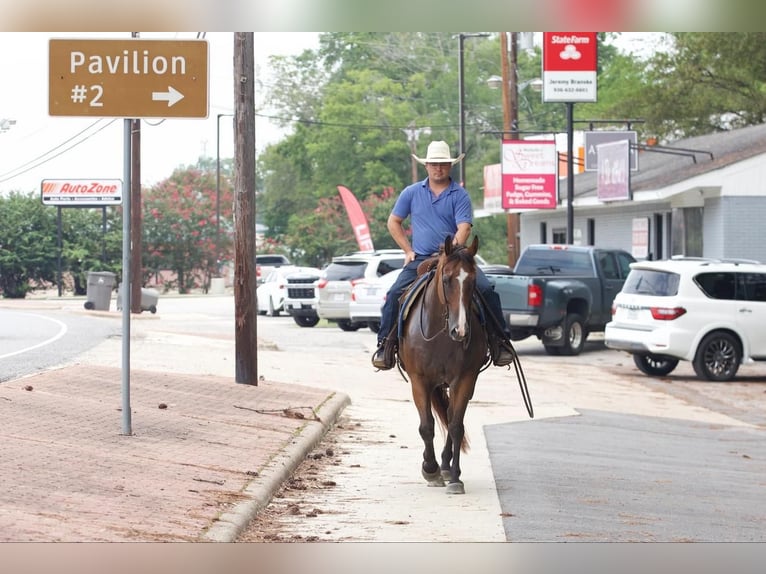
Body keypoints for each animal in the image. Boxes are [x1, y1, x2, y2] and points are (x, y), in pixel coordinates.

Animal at [400, 236, 488, 498]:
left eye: (473, 280)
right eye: (447, 279)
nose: (461, 331)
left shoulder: (465, 379)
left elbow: (456, 425)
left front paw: (455, 477)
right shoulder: (419, 381)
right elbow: (427, 426)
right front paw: (430, 469)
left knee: (450, 417)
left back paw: (447, 466)